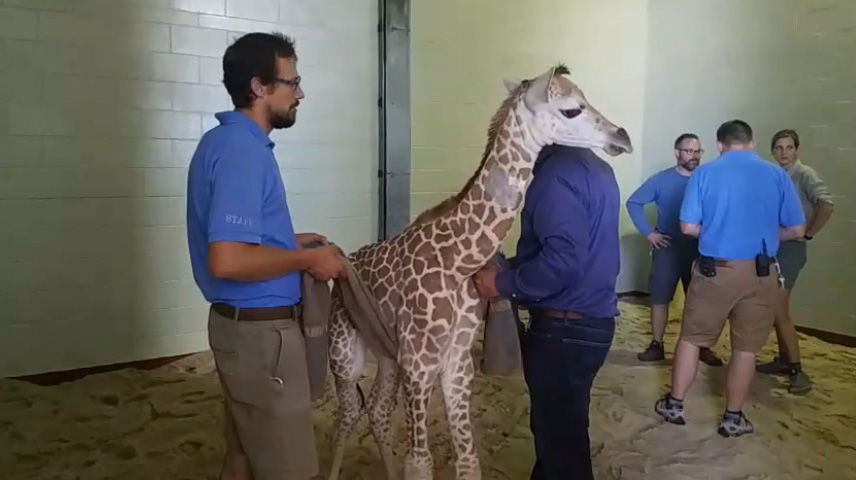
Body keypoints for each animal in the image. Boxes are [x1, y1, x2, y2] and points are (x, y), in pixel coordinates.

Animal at [326, 64, 633, 480]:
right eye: (571, 109)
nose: (623, 136)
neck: (458, 261)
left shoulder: (455, 363)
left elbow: (469, 459)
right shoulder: (419, 364)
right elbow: (419, 463)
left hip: (386, 354)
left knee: (376, 411)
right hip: (345, 354)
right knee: (346, 415)